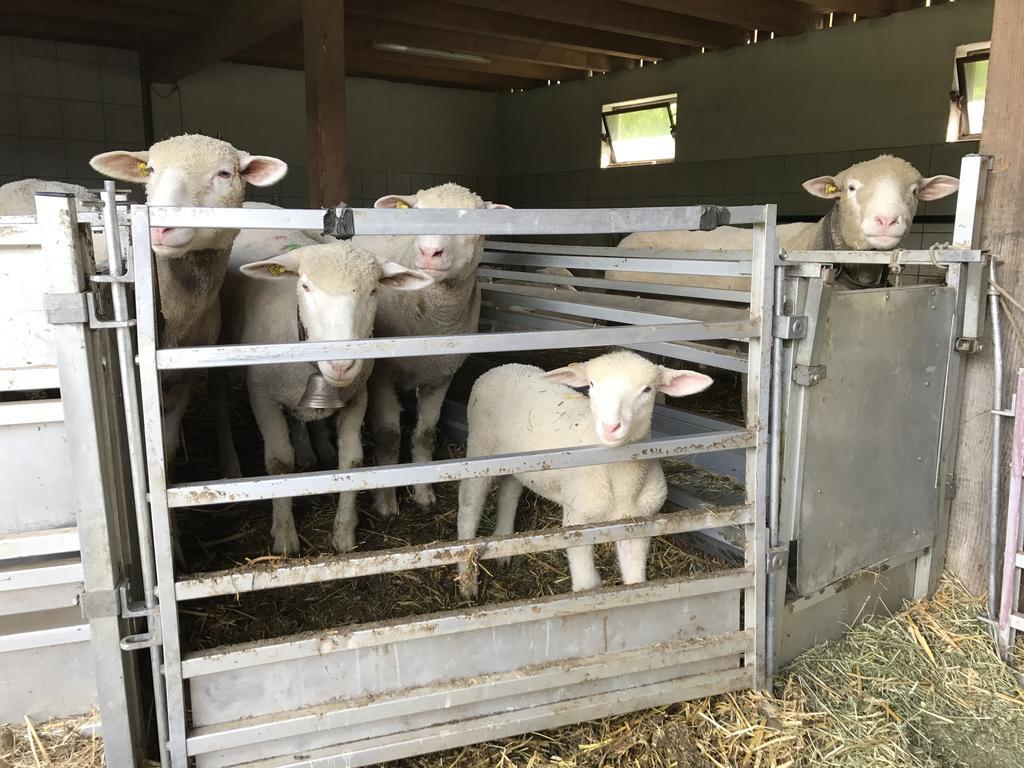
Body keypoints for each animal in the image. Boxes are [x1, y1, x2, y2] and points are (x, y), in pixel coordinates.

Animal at [88, 134, 288, 466]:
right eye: (150, 170)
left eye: (224, 173)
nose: (160, 227)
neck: (176, 318)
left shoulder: (184, 374)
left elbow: (168, 445)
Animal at [216, 243, 432, 557]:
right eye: (305, 286)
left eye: (373, 291)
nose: (341, 365)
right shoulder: (262, 397)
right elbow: (280, 462)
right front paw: (285, 537)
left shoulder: (358, 397)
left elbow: (352, 460)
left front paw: (344, 535)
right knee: (218, 404)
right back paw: (230, 463)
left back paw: (312, 451)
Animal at [352, 183, 512, 520]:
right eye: (416, 214)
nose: (429, 252)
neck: (432, 321)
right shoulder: (382, 376)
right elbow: (389, 436)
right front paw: (386, 502)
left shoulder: (441, 376)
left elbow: (425, 433)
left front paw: (423, 493)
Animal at [456, 352, 712, 606]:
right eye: (592, 384)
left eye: (647, 389)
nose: (610, 427)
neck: (619, 482)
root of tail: (504, 367)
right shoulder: (577, 521)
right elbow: (588, 586)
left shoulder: (637, 525)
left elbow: (636, 582)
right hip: (479, 448)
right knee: (469, 508)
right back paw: (467, 583)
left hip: (519, 462)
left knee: (509, 492)